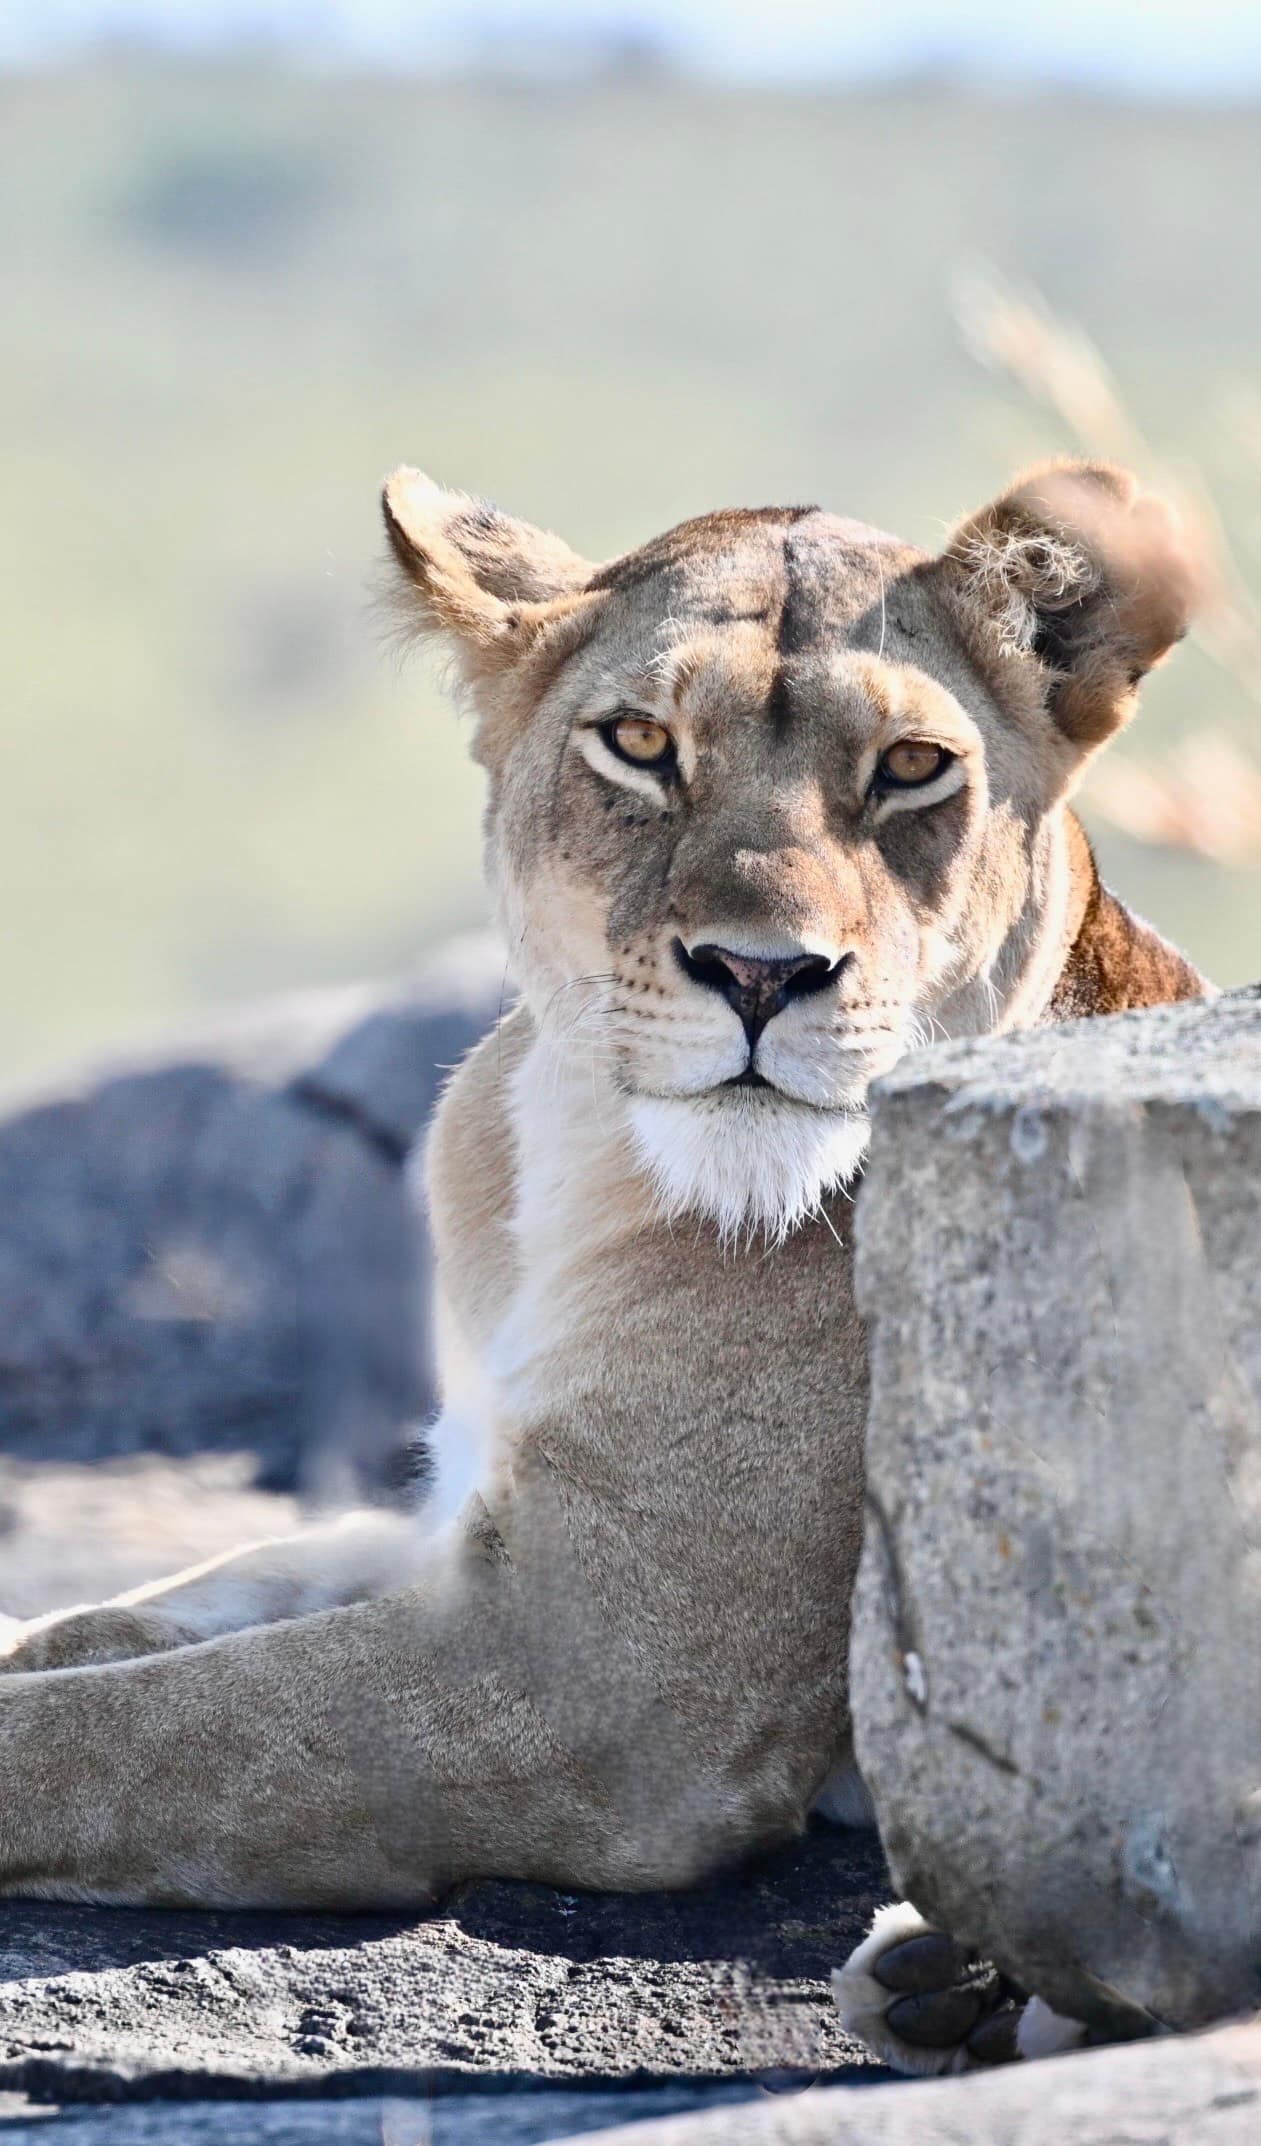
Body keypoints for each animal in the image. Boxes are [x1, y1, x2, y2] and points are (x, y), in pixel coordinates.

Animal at [0, 459, 1206, 2077]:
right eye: (639, 744)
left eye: (907, 767)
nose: (762, 973)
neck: (583, 1163)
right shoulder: (471, 1518)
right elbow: (159, 1609)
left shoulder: (603, 1687)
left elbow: (142, 1729)